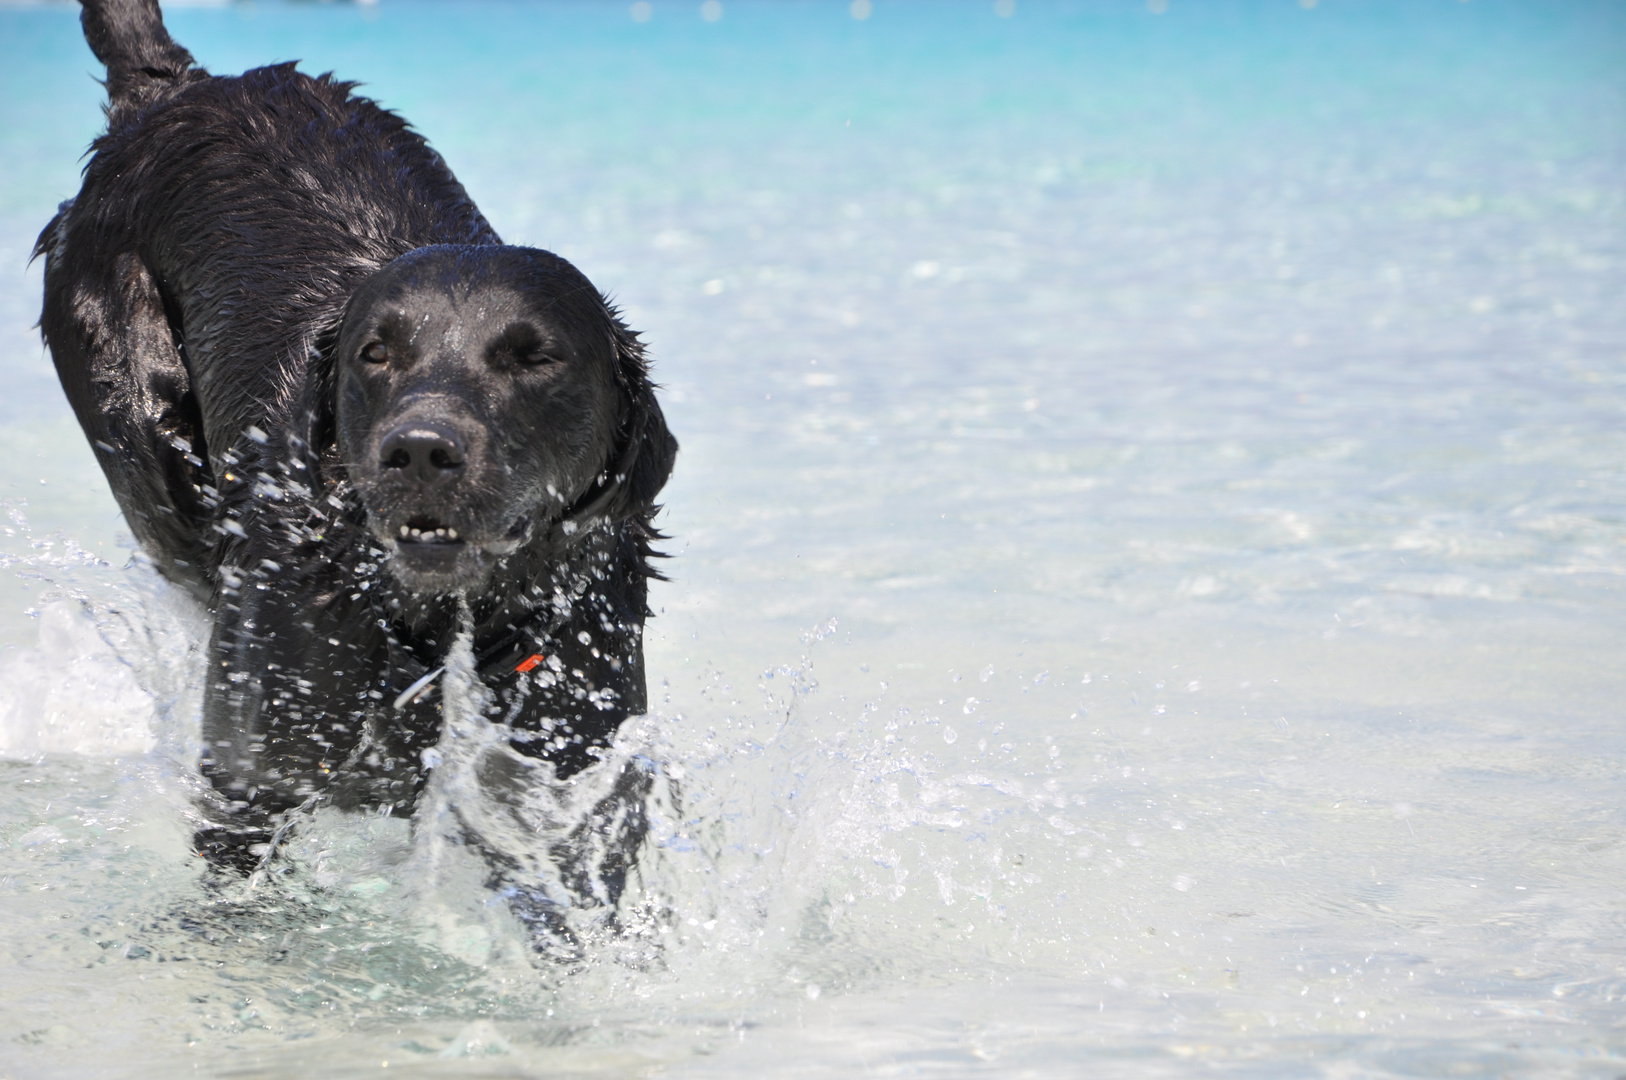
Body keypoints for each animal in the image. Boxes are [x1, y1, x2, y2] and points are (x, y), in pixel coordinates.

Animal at [34, 0, 676, 871]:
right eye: (377, 352)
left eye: (535, 357)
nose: (420, 450)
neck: (440, 626)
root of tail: (171, 91)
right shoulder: (252, 782)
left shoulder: (572, 776)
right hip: (141, 418)